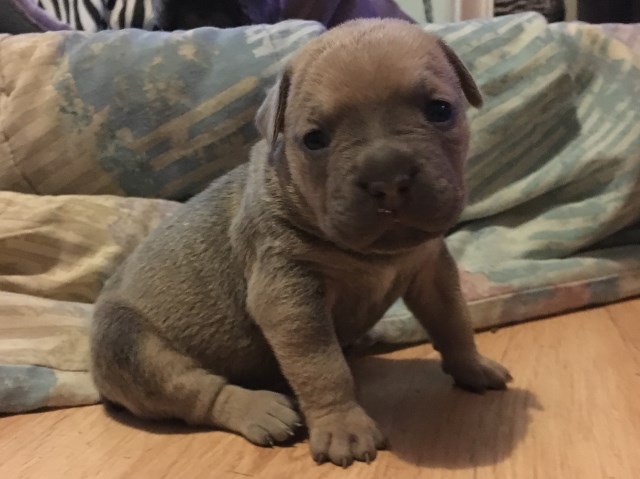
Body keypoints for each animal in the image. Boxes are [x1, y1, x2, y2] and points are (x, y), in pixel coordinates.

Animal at [90, 19, 512, 468]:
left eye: (440, 111)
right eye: (313, 139)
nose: (386, 175)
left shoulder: (431, 271)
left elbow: (453, 321)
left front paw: (472, 365)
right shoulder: (289, 297)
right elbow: (321, 367)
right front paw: (343, 426)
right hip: (131, 347)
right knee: (196, 392)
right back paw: (259, 409)